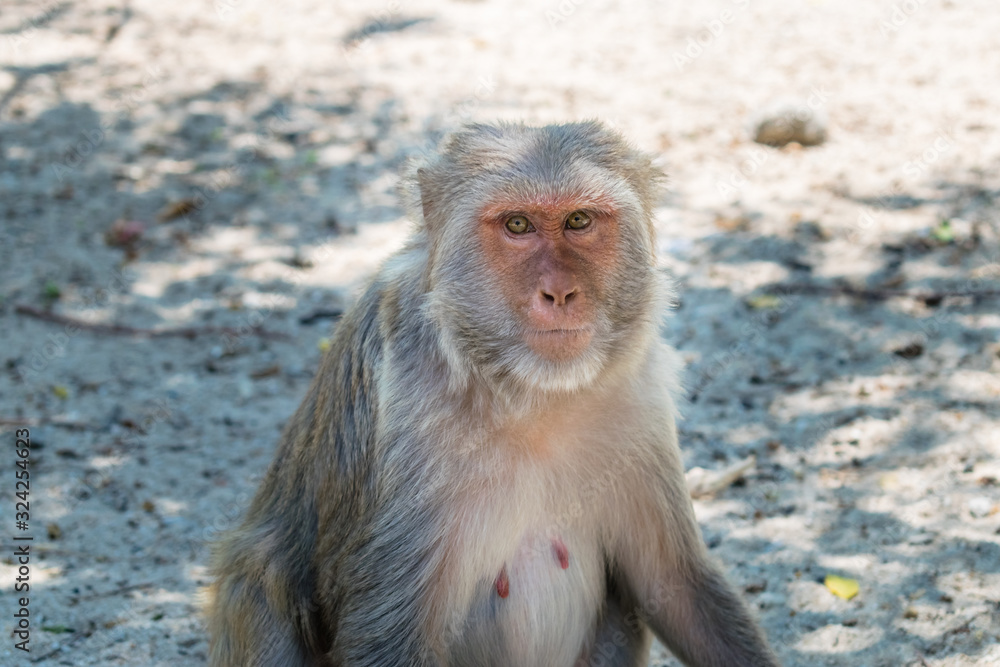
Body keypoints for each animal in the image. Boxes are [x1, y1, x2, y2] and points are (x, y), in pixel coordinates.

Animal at [205, 121, 780, 667]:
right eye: (517, 225)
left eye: (579, 221)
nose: (559, 293)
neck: (528, 394)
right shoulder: (406, 410)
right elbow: (386, 632)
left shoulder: (640, 403)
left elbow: (675, 583)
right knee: (257, 576)